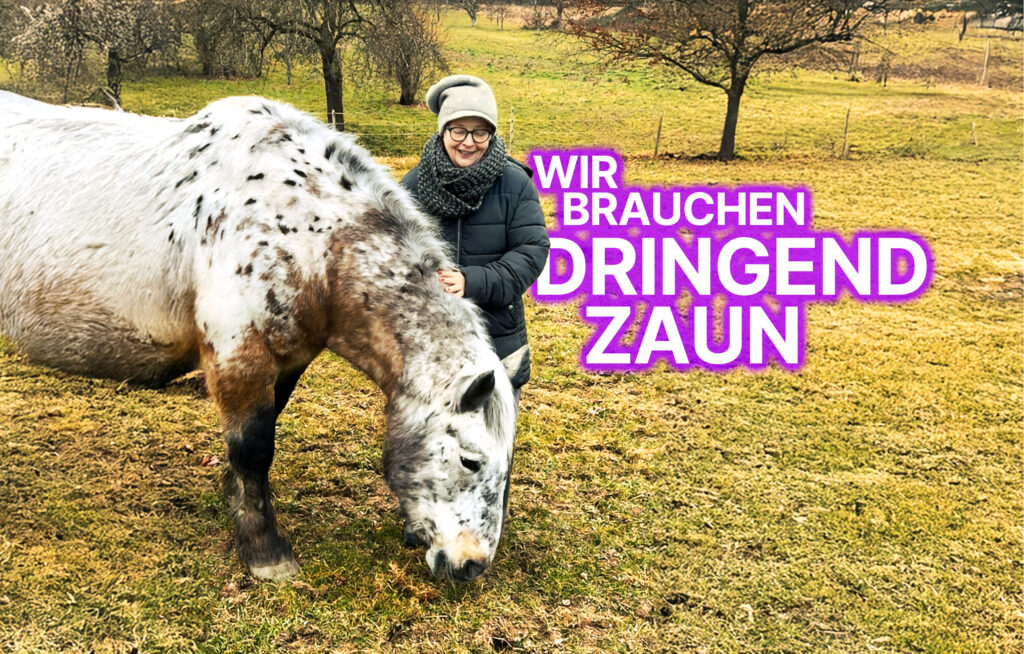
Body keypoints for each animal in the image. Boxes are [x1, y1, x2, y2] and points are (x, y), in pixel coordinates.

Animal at [0, 91, 525, 583]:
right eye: (470, 460)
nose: (473, 565)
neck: (306, 230)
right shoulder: (239, 356)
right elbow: (253, 447)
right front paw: (264, 551)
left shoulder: (288, 359)